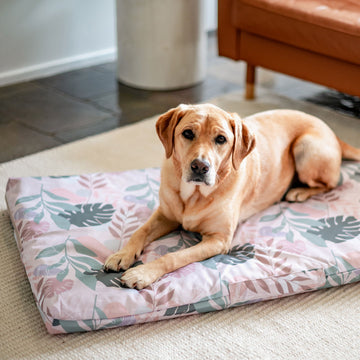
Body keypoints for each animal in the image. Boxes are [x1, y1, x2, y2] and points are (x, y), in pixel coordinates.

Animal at [104, 102, 360, 288]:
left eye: (221, 139)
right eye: (187, 133)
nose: (200, 167)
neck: (194, 195)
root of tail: (330, 130)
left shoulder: (218, 240)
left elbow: (174, 256)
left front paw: (142, 272)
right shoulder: (166, 214)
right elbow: (140, 231)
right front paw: (122, 255)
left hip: (306, 146)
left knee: (332, 182)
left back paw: (299, 191)